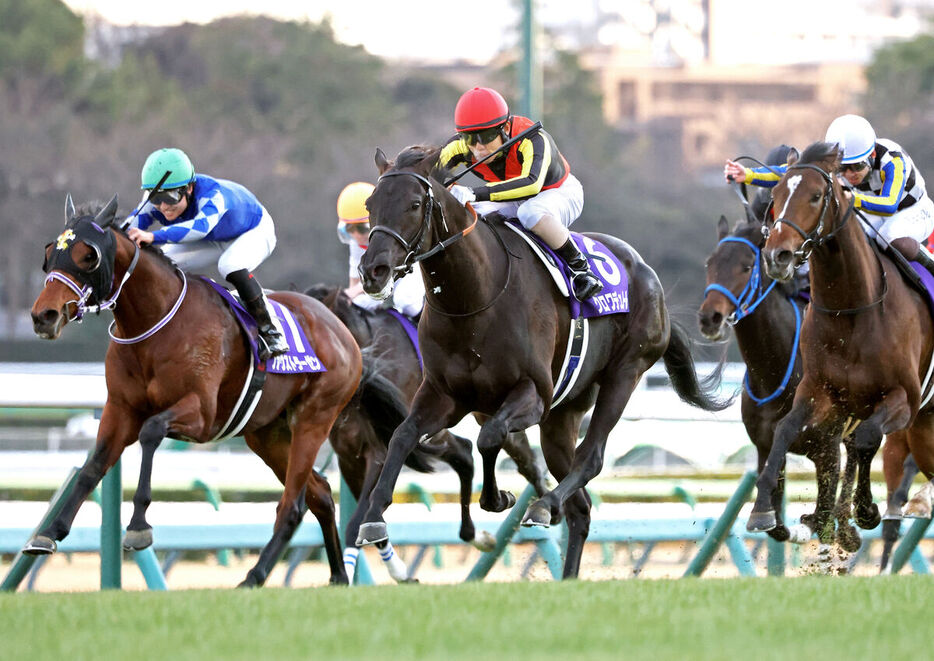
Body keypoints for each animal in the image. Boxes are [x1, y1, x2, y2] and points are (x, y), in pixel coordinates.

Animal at [27, 193, 400, 584]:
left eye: (89, 255)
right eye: (50, 252)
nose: (44, 316)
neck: (153, 324)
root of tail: (346, 337)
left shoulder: (201, 414)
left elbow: (151, 431)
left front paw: (139, 526)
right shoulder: (120, 410)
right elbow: (93, 466)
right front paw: (48, 533)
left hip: (314, 420)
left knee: (293, 504)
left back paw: (255, 575)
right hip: (268, 436)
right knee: (321, 495)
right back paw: (337, 576)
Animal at [352, 146, 732, 576]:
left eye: (415, 204)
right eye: (370, 205)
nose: (373, 271)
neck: (474, 298)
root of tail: (650, 278)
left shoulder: (532, 394)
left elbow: (489, 437)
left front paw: (497, 498)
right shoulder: (444, 396)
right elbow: (403, 435)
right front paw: (374, 517)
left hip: (624, 373)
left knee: (591, 458)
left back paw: (543, 504)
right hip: (562, 414)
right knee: (581, 507)